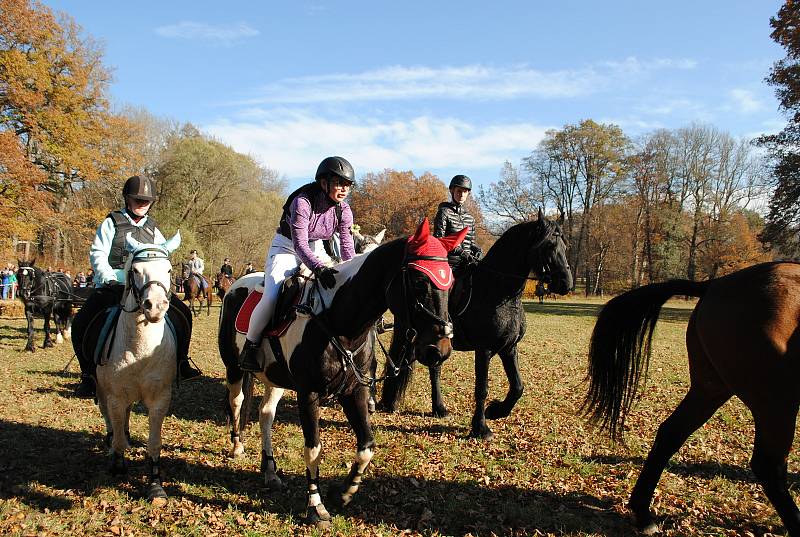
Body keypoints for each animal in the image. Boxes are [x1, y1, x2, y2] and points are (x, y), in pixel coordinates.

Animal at [95, 229, 181, 502]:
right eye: (134, 270)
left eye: (168, 269)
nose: (155, 306)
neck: (140, 348)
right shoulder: (115, 396)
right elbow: (117, 437)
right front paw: (118, 464)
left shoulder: (160, 398)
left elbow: (154, 442)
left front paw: (155, 485)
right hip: (101, 389)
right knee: (110, 421)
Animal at [219, 220, 468, 524]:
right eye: (420, 282)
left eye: (451, 283)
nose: (440, 349)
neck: (339, 321)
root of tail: (237, 285)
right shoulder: (308, 393)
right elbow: (313, 448)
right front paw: (315, 506)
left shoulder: (354, 391)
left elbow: (367, 445)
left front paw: (345, 492)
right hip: (234, 368)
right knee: (237, 402)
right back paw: (237, 447)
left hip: (274, 379)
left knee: (266, 414)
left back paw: (269, 469)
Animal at [378, 209, 572, 440]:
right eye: (549, 245)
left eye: (565, 246)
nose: (566, 283)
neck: (497, 291)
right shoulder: (484, 349)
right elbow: (481, 389)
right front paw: (481, 427)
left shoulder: (509, 348)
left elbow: (518, 386)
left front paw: (496, 411)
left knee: (434, 368)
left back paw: (438, 408)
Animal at [580, 260, 800, 532]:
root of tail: (714, 284)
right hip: (775, 399)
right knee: (768, 464)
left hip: (711, 388)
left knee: (671, 433)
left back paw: (643, 513)